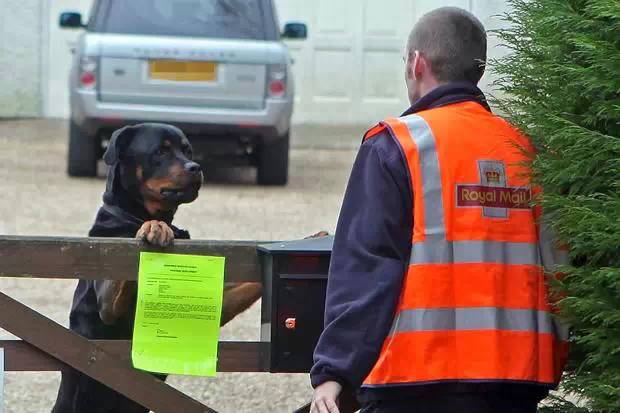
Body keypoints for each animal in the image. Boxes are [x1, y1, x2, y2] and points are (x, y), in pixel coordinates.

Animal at [49, 123, 260, 412]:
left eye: (187, 150)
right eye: (160, 151)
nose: (196, 167)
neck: (133, 214)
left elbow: (246, 287)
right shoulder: (108, 302)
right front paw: (154, 227)